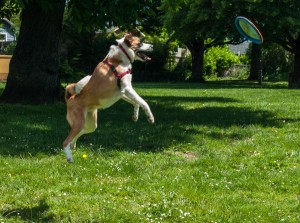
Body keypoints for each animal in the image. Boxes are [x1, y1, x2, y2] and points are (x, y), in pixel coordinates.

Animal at [61, 32, 154, 162]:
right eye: (140, 43)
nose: (153, 46)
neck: (120, 58)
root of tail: (71, 98)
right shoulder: (127, 88)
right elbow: (144, 102)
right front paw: (150, 117)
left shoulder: (122, 93)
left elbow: (136, 102)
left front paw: (135, 116)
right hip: (79, 122)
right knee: (65, 142)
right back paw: (69, 158)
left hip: (90, 124)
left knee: (79, 133)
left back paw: (73, 145)